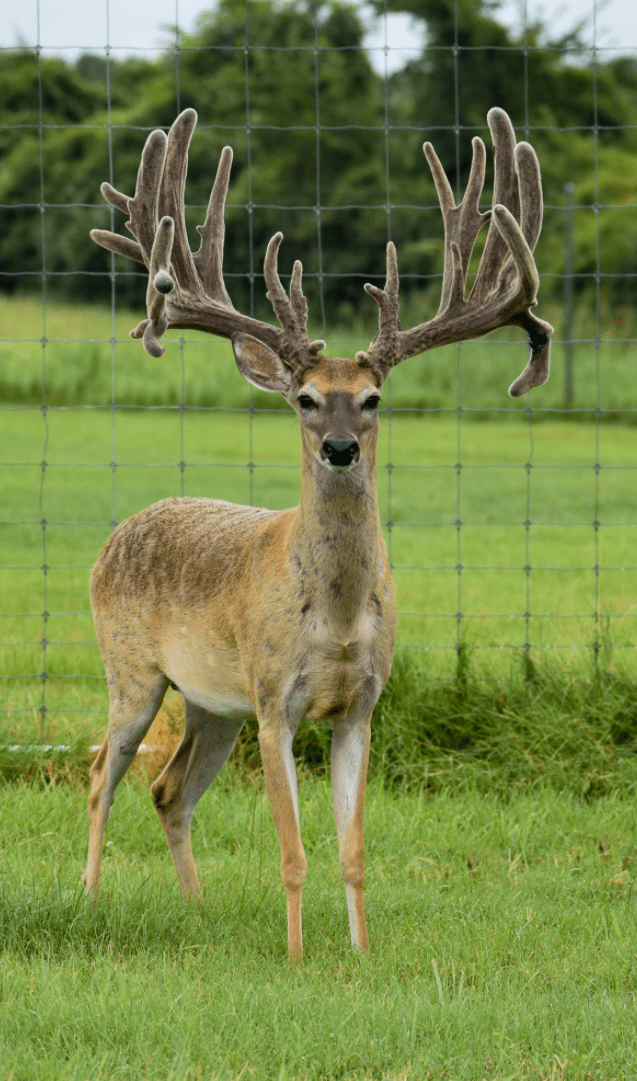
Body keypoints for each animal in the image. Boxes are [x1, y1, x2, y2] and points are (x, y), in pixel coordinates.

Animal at [85, 106, 553, 960]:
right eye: (305, 397)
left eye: (371, 398)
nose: (338, 446)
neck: (332, 619)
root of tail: (121, 531)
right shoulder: (277, 699)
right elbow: (293, 849)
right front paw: (300, 955)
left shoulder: (360, 705)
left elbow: (353, 847)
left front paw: (361, 954)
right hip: (132, 670)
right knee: (106, 768)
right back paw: (90, 895)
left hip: (212, 702)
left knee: (168, 787)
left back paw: (196, 909)